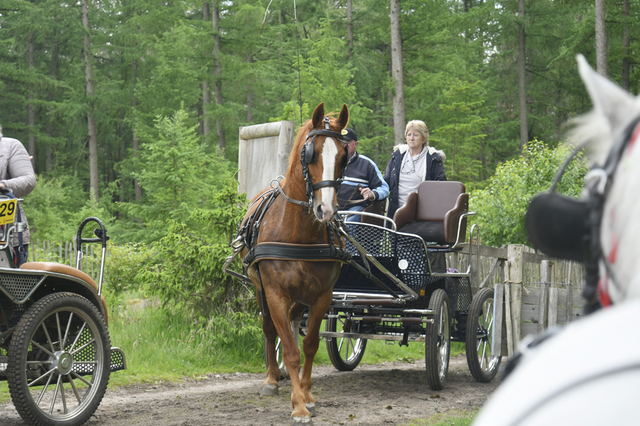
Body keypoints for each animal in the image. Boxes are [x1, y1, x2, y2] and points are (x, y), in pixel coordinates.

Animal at [240, 101, 350, 424]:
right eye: (310, 152)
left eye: (344, 155)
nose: (326, 209)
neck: (298, 233)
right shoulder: (275, 293)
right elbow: (289, 348)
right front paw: (298, 406)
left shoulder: (323, 295)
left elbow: (309, 345)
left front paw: (308, 396)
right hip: (260, 289)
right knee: (270, 328)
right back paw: (272, 379)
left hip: (302, 296)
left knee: (291, 322)